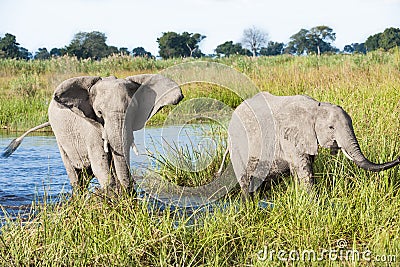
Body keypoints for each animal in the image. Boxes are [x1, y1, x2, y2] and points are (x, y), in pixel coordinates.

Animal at [2, 75, 184, 195]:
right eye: (99, 113)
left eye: (133, 112)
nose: (130, 192)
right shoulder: (91, 130)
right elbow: (101, 167)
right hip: (59, 136)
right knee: (76, 177)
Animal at [223, 92, 400, 197]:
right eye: (331, 127)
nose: (399, 158)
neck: (315, 107)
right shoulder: (289, 137)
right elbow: (303, 169)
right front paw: (314, 202)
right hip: (237, 146)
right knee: (245, 179)